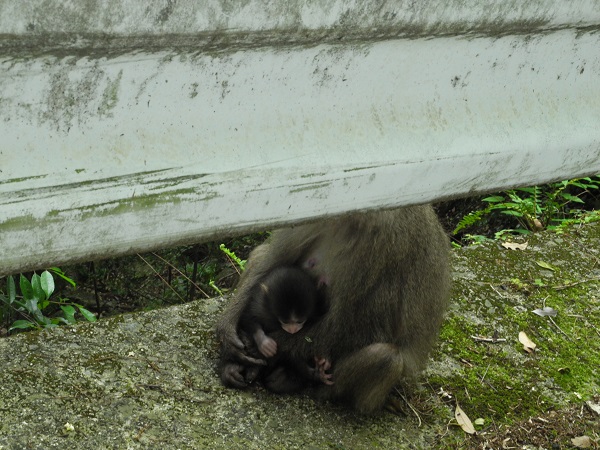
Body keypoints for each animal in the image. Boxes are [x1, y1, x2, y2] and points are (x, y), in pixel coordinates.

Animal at [216, 206, 450, 414]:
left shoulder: (386, 245)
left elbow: (359, 326)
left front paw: (260, 349)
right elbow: (273, 259)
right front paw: (229, 329)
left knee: (387, 357)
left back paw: (314, 385)